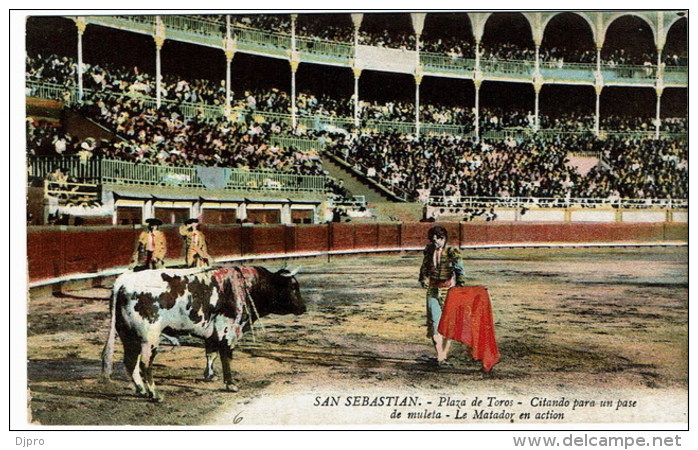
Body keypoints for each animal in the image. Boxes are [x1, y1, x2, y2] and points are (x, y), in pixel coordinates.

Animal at [101, 264, 304, 400]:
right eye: (293, 287)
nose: (304, 307)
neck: (246, 286)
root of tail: (124, 281)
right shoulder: (228, 331)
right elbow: (226, 357)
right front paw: (230, 384)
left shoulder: (213, 333)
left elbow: (211, 354)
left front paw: (210, 375)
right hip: (148, 338)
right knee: (144, 363)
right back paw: (154, 393)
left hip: (128, 336)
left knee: (130, 362)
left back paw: (142, 389)